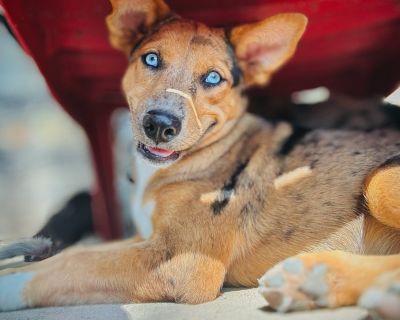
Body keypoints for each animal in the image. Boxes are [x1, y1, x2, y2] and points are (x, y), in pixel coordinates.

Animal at [0, 0, 400, 318]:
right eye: (151, 58)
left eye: (212, 78)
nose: (160, 125)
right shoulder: (146, 239)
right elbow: (79, 252)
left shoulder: (182, 262)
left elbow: (71, 263)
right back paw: (314, 283)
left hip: (378, 181)